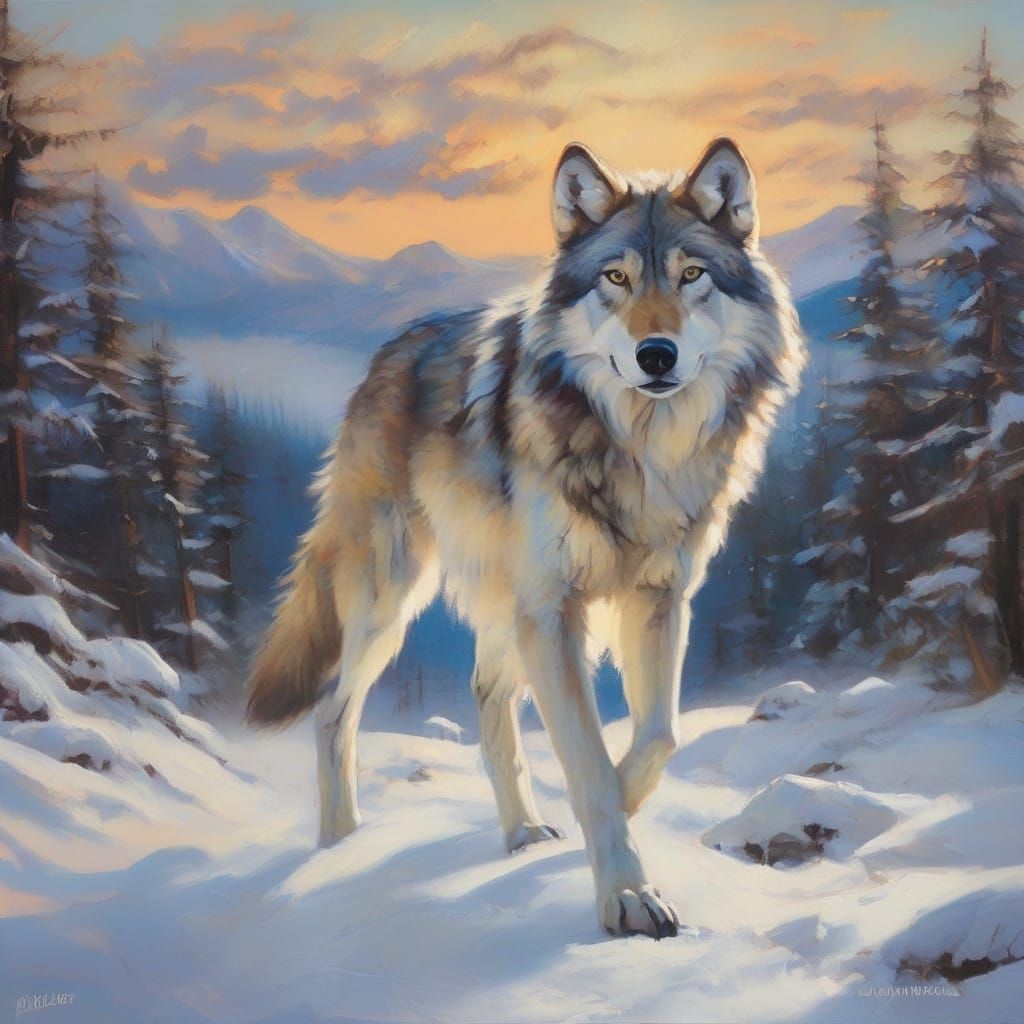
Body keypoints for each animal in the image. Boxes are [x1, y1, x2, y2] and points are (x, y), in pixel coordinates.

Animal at [248, 137, 805, 938]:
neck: (639, 451)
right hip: (392, 595)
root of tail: (388, 353)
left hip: (501, 602)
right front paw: (627, 894)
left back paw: (522, 832)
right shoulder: (553, 610)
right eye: (615, 277)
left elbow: (655, 737)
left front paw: (608, 824)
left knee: (486, 697)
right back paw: (338, 844)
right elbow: (591, 763)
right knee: (332, 711)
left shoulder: (658, 599)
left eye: (692, 275)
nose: (656, 355)